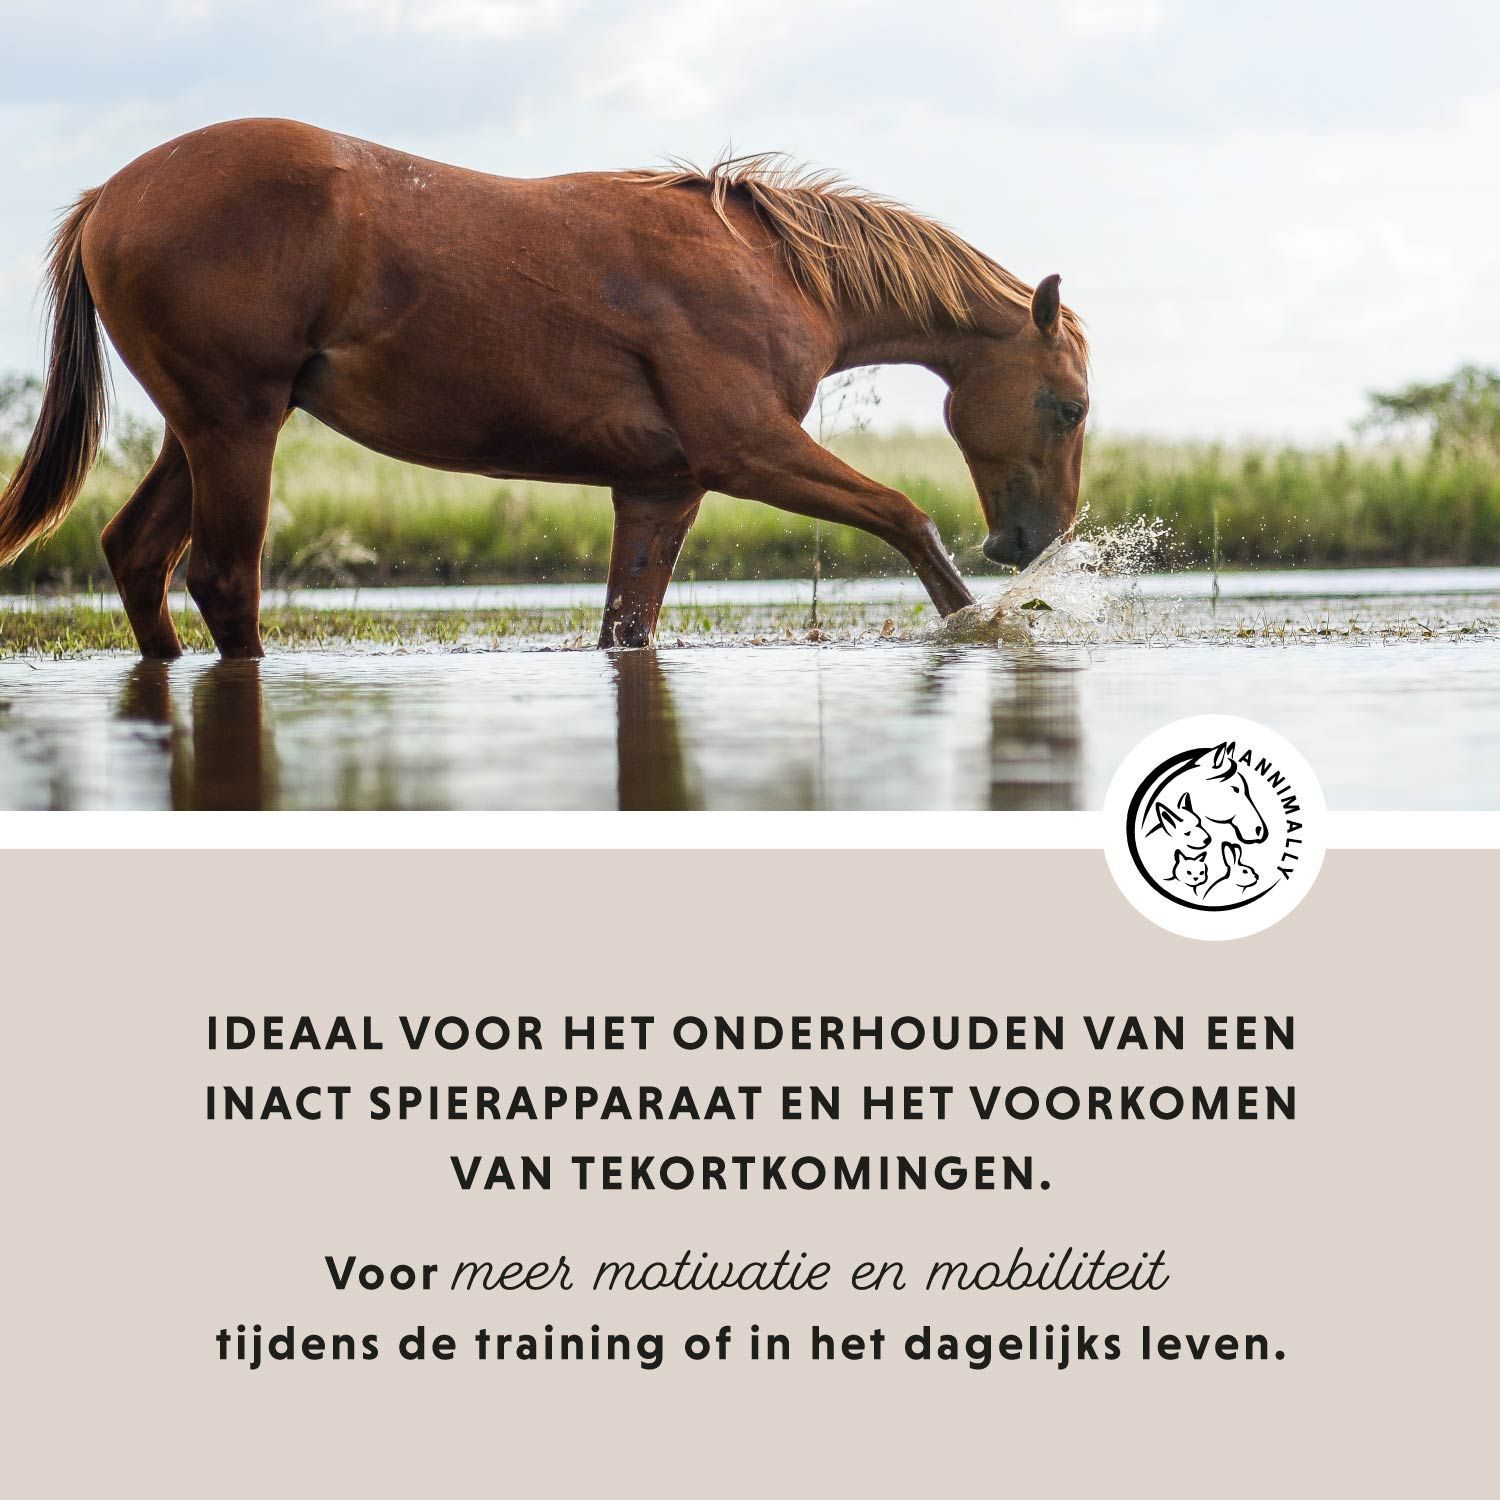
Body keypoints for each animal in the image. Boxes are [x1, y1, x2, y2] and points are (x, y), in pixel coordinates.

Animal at [0, 119, 1089, 658]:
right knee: (223, 580)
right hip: (235, 427)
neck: (770, 268)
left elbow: (627, 628)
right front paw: (984, 621)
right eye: (1068, 406)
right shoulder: (751, 451)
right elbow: (905, 516)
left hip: (204, 432)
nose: (1032, 540)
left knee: (137, 557)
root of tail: (109, 198)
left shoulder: (661, 487)